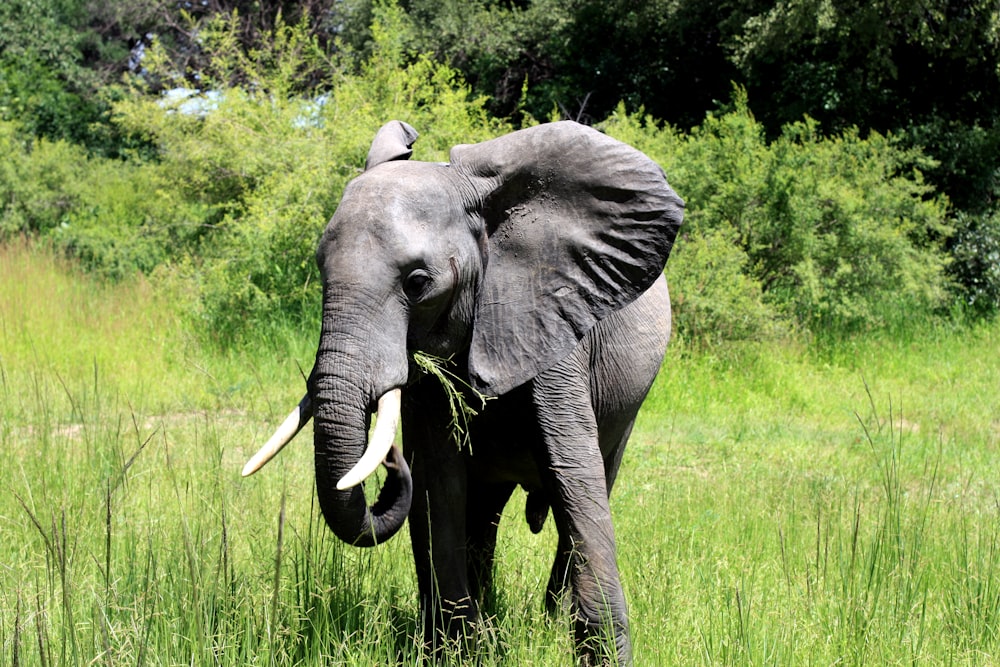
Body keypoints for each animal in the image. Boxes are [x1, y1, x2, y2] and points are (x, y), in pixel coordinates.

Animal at [243, 118, 684, 664]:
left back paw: (547, 617)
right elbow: (440, 483)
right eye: (321, 269)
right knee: (482, 511)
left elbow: (574, 478)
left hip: (629, 407)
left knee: (594, 479)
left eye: (416, 282)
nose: (390, 458)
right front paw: (460, 651)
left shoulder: (548, 318)